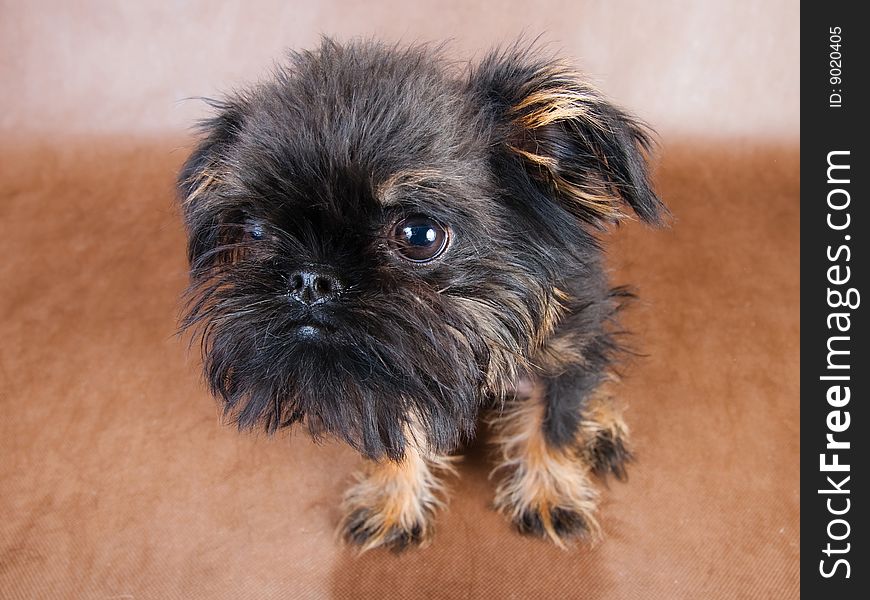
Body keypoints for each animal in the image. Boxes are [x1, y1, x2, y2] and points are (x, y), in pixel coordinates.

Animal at [179, 39, 668, 552]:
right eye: (254, 233)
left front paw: (549, 495)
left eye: (419, 235)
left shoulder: (570, 346)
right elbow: (397, 432)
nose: (311, 278)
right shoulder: (395, 378)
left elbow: (555, 423)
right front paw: (393, 501)